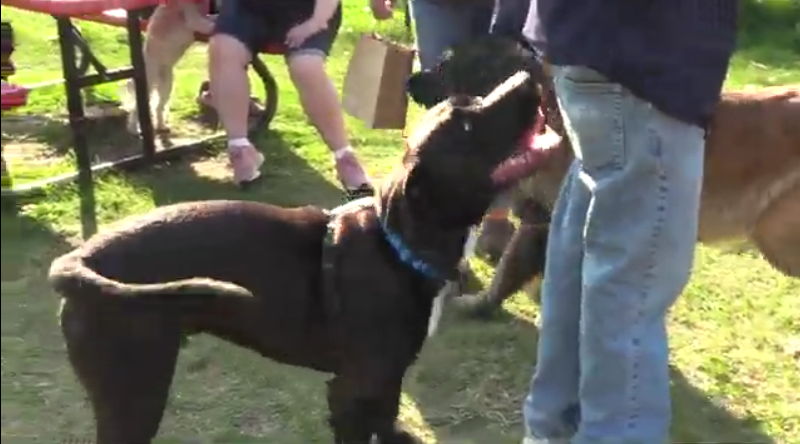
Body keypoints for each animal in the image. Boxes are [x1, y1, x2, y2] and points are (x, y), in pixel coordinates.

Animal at [48, 71, 544, 442]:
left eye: (474, 99)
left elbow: (389, 429)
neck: (397, 244)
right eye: (466, 127)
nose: (528, 76)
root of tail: (79, 259)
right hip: (135, 394)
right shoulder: (352, 392)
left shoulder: (387, 382)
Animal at [123, 0, 214, 134]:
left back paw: (161, 126)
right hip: (148, 85)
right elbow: (205, 23)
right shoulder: (193, 18)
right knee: (137, 109)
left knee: (158, 107)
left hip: (166, 85)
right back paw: (134, 129)